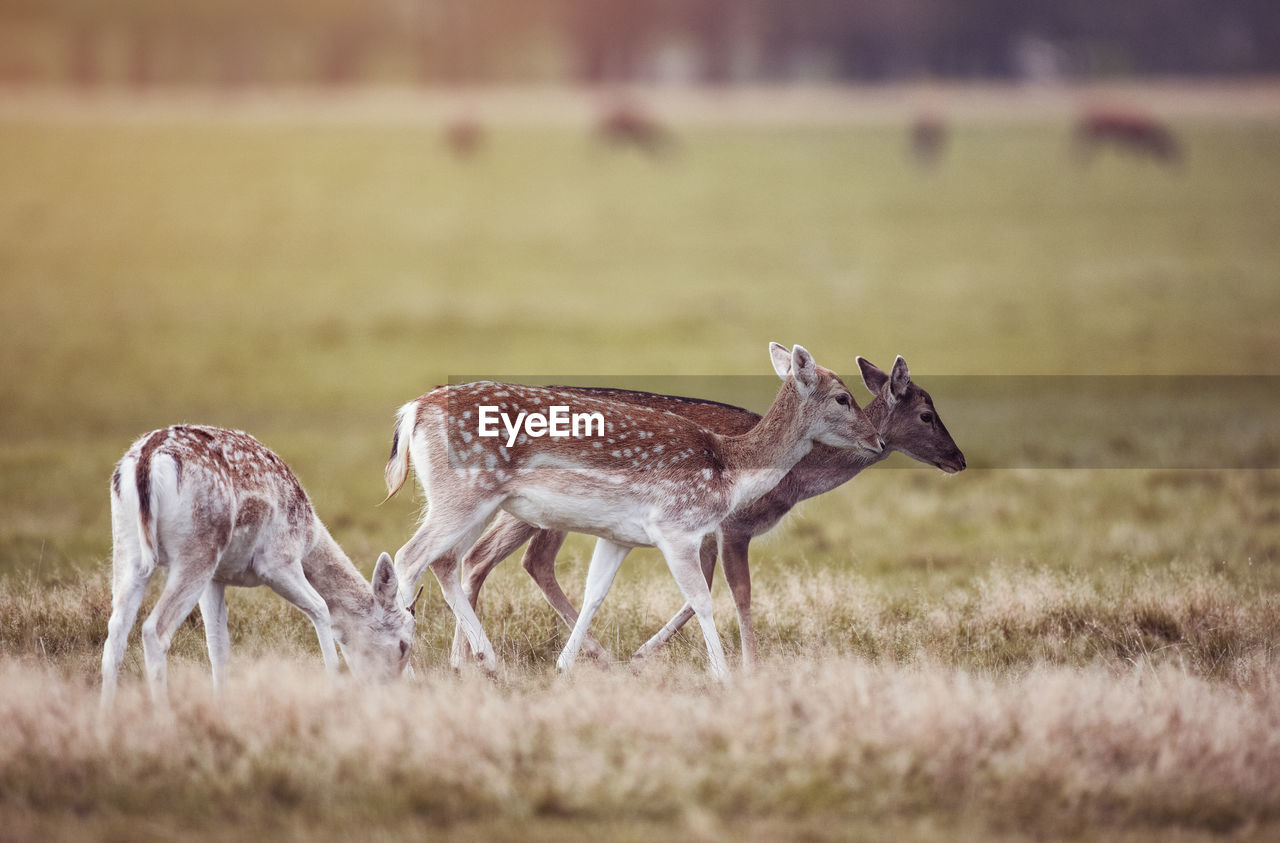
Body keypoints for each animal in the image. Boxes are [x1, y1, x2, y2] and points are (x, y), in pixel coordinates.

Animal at [103, 424, 419, 711]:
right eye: (404, 644)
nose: (396, 691)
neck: (310, 537)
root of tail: (146, 459)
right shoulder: (277, 561)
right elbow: (320, 607)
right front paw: (335, 688)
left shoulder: (217, 578)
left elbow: (218, 643)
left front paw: (222, 705)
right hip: (196, 553)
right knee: (153, 630)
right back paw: (163, 717)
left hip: (129, 550)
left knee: (115, 631)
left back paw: (105, 717)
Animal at [378, 342, 880, 680]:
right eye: (842, 397)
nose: (876, 439)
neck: (728, 471)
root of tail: (413, 409)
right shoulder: (677, 527)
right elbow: (703, 598)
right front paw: (723, 674)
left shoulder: (618, 536)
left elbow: (596, 593)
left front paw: (565, 665)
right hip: (463, 495)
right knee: (409, 556)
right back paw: (410, 662)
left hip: (473, 502)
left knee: (446, 560)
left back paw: (487, 660)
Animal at [455, 353, 962, 670]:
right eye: (927, 415)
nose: (959, 459)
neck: (793, 481)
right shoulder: (733, 525)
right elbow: (738, 591)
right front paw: (750, 666)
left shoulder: (705, 531)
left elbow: (702, 590)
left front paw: (644, 654)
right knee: (500, 558)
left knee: (502, 558)